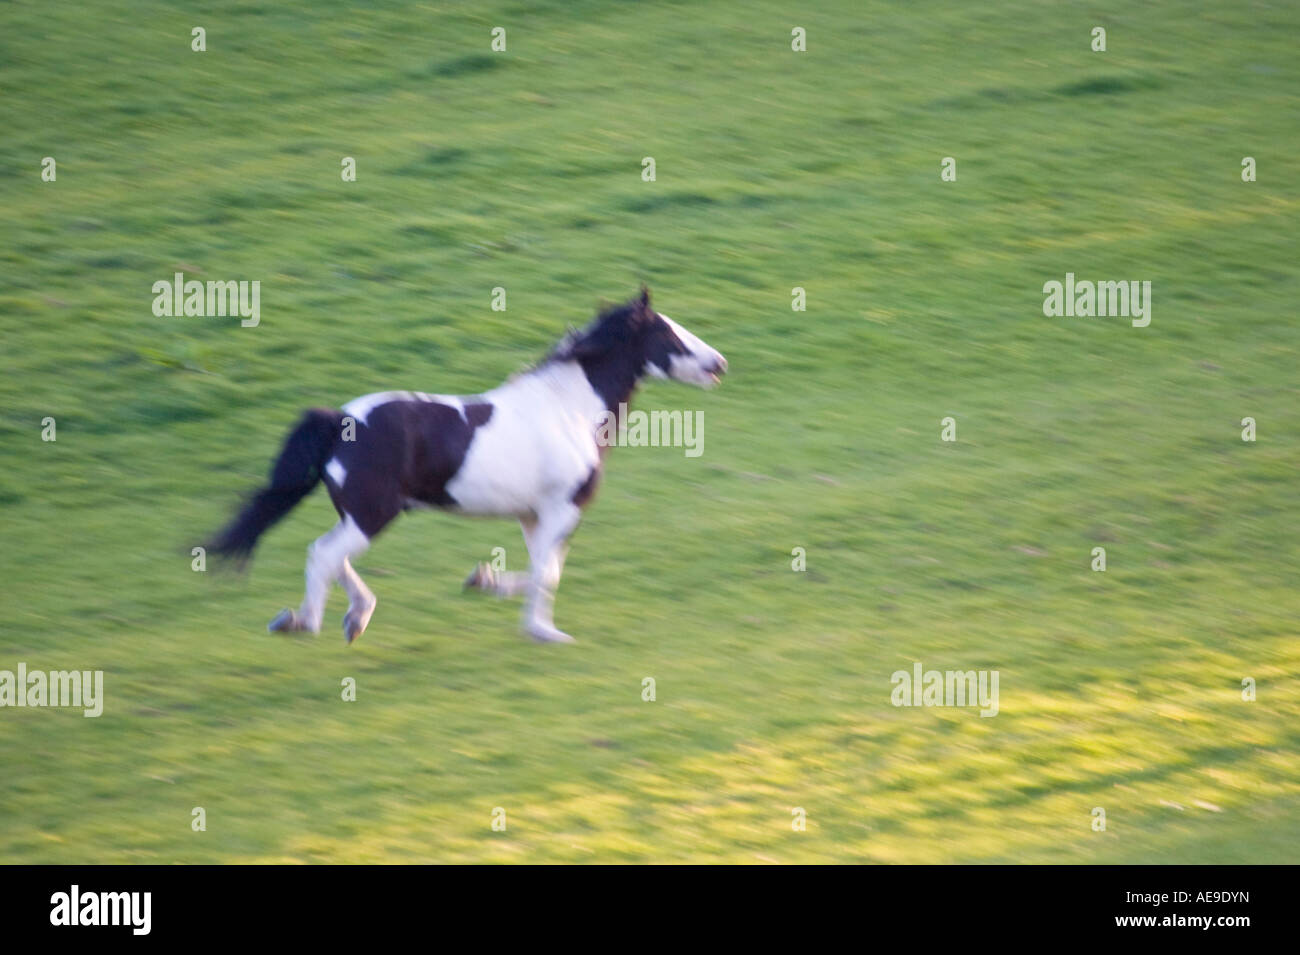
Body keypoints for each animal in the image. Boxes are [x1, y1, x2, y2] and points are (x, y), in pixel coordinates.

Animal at [207, 288, 727, 645]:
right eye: (668, 332)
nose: (719, 363)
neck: (569, 410)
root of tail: (339, 421)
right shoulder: (563, 508)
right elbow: (547, 574)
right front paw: (541, 629)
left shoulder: (534, 515)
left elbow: (543, 569)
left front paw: (490, 586)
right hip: (373, 513)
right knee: (323, 554)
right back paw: (305, 622)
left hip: (360, 514)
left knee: (334, 557)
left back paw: (353, 618)